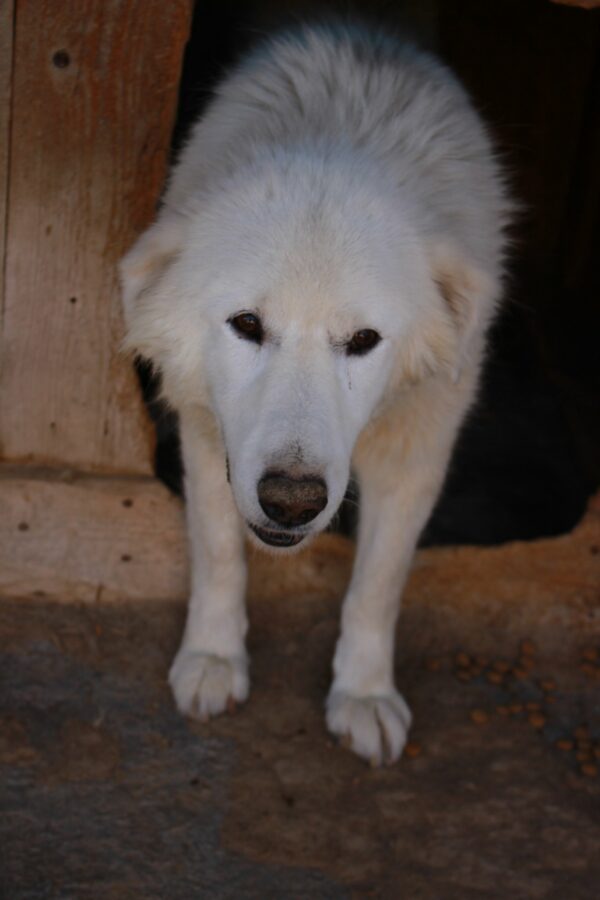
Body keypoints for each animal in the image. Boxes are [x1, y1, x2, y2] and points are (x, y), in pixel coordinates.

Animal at [120, 22, 510, 768]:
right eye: (247, 324)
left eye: (362, 340)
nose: (292, 501)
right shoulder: (208, 433)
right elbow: (219, 550)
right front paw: (213, 658)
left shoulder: (416, 453)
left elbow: (377, 587)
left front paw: (364, 693)